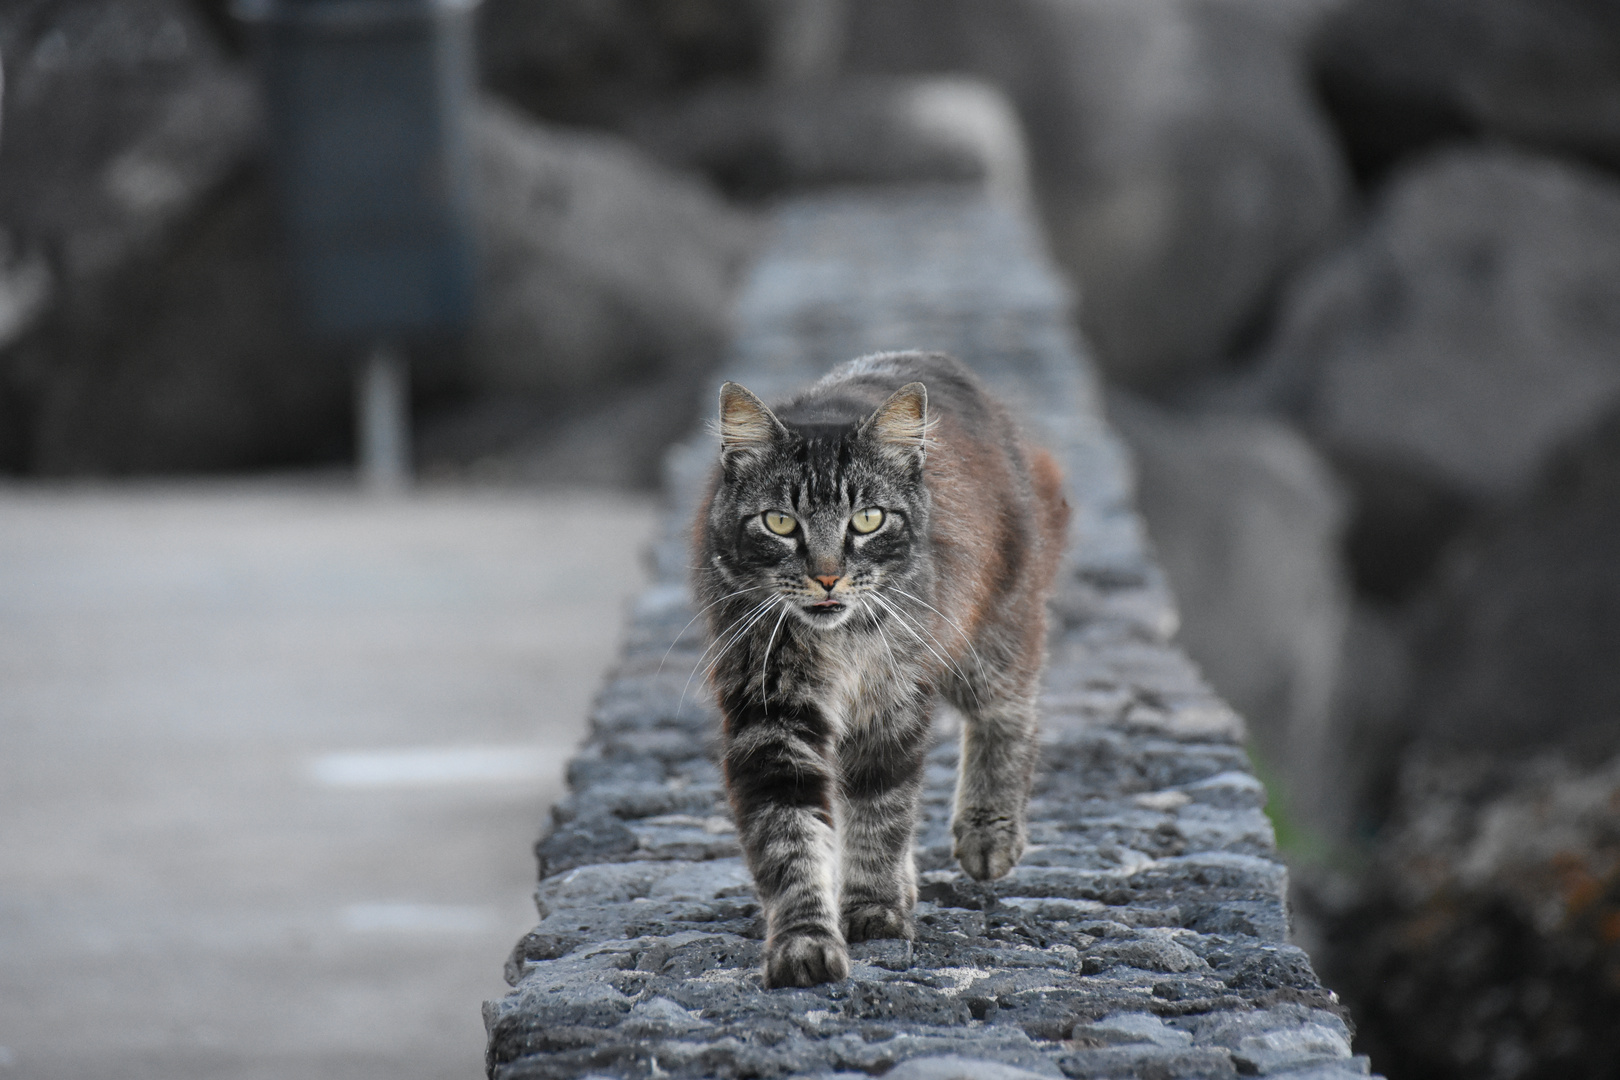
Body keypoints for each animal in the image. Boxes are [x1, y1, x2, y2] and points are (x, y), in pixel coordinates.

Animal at [690, 348, 1069, 990]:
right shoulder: (770, 714)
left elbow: (880, 812)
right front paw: (805, 942)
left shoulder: (891, 704)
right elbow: (790, 834)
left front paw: (872, 909)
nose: (826, 577)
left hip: (991, 636)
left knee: (1014, 714)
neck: (837, 644)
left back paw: (988, 834)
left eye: (866, 520)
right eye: (779, 523)